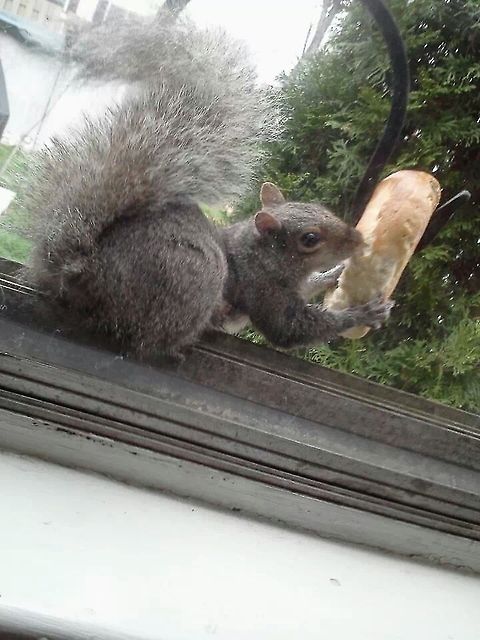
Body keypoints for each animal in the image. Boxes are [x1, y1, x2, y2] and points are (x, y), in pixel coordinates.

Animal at [22, 13, 393, 360]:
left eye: (320, 208)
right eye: (310, 239)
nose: (358, 240)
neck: (260, 255)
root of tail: (83, 272)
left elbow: (310, 287)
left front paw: (334, 274)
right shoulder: (262, 290)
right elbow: (289, 330)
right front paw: (362, 313)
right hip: (192, 277)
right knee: (146, 340)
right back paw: (175, 348)